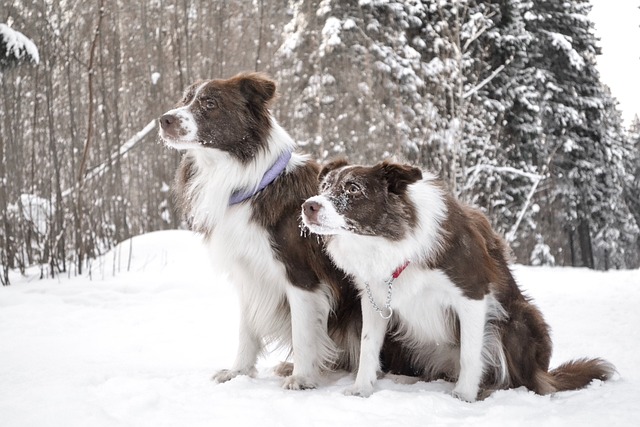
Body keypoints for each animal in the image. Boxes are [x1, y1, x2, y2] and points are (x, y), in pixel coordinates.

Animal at [156, 74, 376, 392]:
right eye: (185, 99)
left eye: (210, 103)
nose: (165, 119)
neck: (251, 182)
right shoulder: (248, 272)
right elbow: (246, 330)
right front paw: (238, 371)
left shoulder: (301, 275)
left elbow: (303, 332)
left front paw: (302, 377)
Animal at [300, 160, 616, 402]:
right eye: (324, 187)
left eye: (353, 188)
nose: (308, 206)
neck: (391, 241)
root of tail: (542, 373)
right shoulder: (375, 299)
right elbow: (367, 347)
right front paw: (361, 389)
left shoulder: (472, 294)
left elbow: (470, 352)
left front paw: (464, 396)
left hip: (520, 319)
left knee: (521, 380)